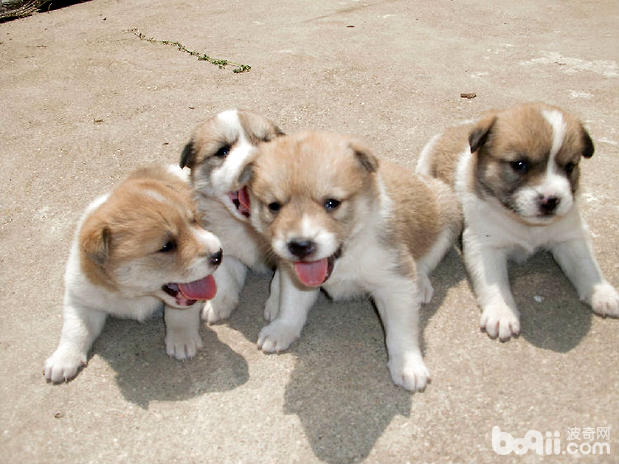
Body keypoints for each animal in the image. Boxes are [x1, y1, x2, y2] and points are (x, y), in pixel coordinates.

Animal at [44, 165, 223, 382]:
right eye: (167, 246)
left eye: (194, 221)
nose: (219, 254)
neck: (131, 294)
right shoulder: (80, 298)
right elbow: (75, 329)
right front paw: (63, 359)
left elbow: (180, 314)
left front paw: (182, 339)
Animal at [180, 110, 284, 324]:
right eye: (223, 151)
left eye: (267, 143)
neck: (249, 228)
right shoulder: (223, 247)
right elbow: (224, 275)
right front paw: (218, 304)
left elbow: (279, 281)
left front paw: (278, 307)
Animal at [245, 130, 462, 392]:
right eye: (274, 206)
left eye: (332, 203)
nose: (300, 246)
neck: (347, 256)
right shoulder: (298, 278)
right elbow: (291, 306)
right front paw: (282, 329)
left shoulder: (394, 284)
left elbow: (401, 330)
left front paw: (408, 365)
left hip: (447, 220)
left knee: (426, 261)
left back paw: (421, 284)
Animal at [416, 102, 619, 340]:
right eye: (519, 165)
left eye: (570, 167)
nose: (551, 200)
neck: (524, 223)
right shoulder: (484, 245)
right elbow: (495, 283)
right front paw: (501, 312)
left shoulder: (571, 237)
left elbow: (587, 266)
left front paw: (603, 293)